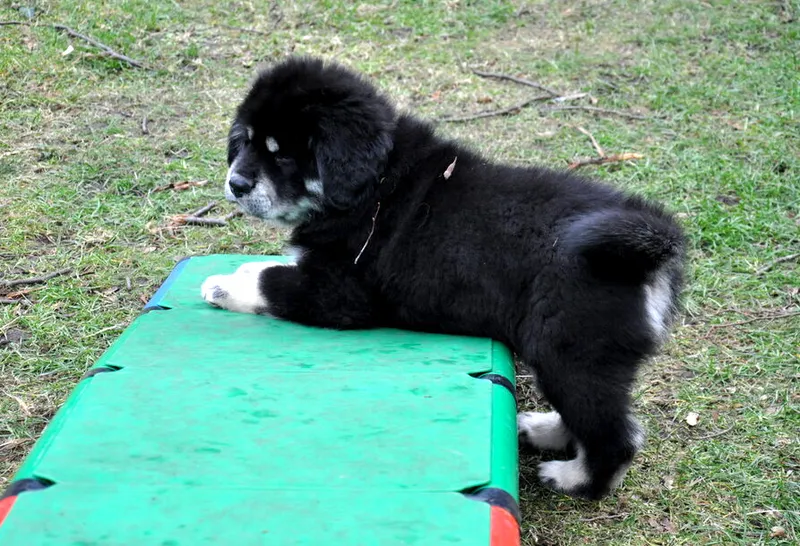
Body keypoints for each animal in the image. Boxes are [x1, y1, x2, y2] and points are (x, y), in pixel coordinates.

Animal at [200, 57, 686, 500]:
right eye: (245, 142)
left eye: (282, 153)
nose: (236, 183)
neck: (373, 182)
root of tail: (652, 256)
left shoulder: (341, 294)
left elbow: (270, 280)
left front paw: (222, 284)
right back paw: (544, 430)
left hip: (570, 351)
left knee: (614, 436)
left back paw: (574, 479)